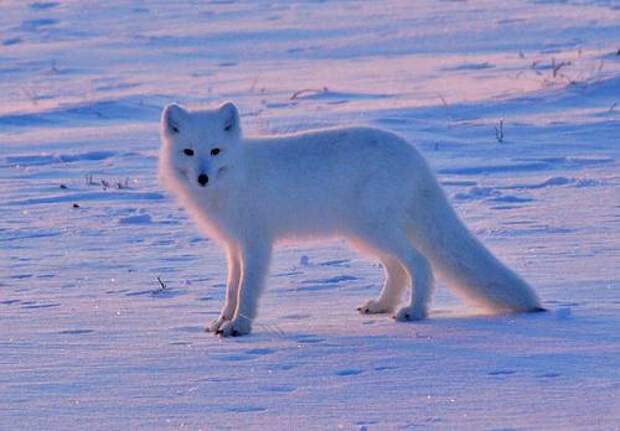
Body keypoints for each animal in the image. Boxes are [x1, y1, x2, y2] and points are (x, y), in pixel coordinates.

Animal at [159, 102, 544, 338]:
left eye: (216, 151)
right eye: (189, 152)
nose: (202, 178)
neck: (238, 174)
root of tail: (416, 158)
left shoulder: (257, 243)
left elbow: (247, 289)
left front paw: (239, 326)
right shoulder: (233, 246)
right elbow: (231, 287)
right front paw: (222, 320)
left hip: (374, 230)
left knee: (419, 263)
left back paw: (414, 311)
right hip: (364, 234)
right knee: (398, 269)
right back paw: (382, 305)